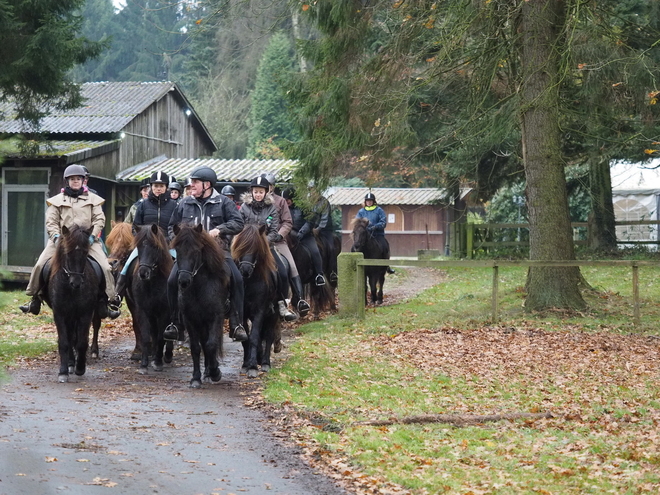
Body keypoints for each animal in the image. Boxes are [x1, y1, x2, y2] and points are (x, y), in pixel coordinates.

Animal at [43, 225, 102, 384]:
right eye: (67, 252)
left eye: (85, 252)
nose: (76, 282)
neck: (70, 289)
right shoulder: (60, 314)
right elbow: (64, 342)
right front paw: (63, 372)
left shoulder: (85, 314)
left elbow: (82, 342)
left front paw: (80, 368)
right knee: (70, 339)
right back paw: (69, 363)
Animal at [125, 223, 173, 374]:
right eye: (139, 246)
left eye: (155, 246)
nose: (143, 273)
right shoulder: (143, 310)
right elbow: (147, 336)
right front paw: (144, 364)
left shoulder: (165, 311)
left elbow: (162, 336)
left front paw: (158, 362)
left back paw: (167, 355)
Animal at [171, 223, 231, 390]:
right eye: (177, 250)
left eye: (196, 251)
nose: (184, 281)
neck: (199, 288)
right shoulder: (190, 320)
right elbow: (196, 347)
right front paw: (195, 378)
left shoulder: (216, 317)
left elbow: (211, 345)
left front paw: (215, 371)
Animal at [232, 225, 278, 380]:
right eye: (240, 247)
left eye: (256, 248)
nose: (245, 270)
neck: (249, 282)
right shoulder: (243, 312)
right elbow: (246, 338)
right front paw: (246, 364)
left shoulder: (260, 311)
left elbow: (254, 337)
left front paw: (252, 367)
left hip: (273, 314)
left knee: (269, 335)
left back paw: (265, 363)